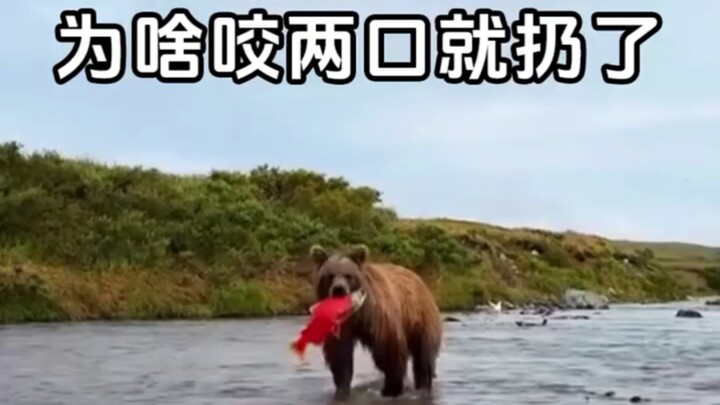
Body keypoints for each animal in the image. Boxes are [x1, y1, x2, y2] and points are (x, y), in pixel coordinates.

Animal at [309, 244, 443, 401]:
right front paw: (342, 390)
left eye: (348, 275)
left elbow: (390, 348)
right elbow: (340, 354)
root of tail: (418, 278)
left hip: (420, 317)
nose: (339, 289)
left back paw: (423, 386)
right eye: (330, 275)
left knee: (423, 355)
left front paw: (391, 389)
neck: (357, 312)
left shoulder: (380, 317)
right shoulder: (342, 325)